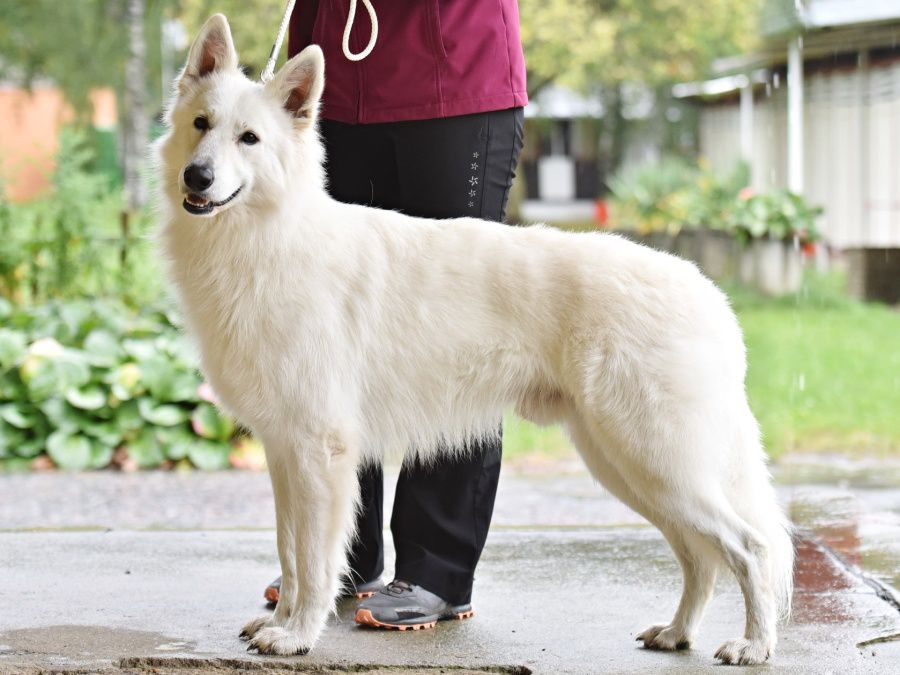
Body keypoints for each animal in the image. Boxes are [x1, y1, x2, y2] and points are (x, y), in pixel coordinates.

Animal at [156, 13, 796, 668]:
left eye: (249, 139)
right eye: (202, 124)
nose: (196, 176)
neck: (270, 235)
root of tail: (708, 293)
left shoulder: (318, 455)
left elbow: (313, 562)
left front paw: (299, 634)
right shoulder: (286, 453)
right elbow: (290, 554)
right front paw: (279, 623)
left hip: (656, 460)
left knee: (749, 547)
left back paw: (754, 644)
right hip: (627, 466)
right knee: (699, 555)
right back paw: (677, 633)